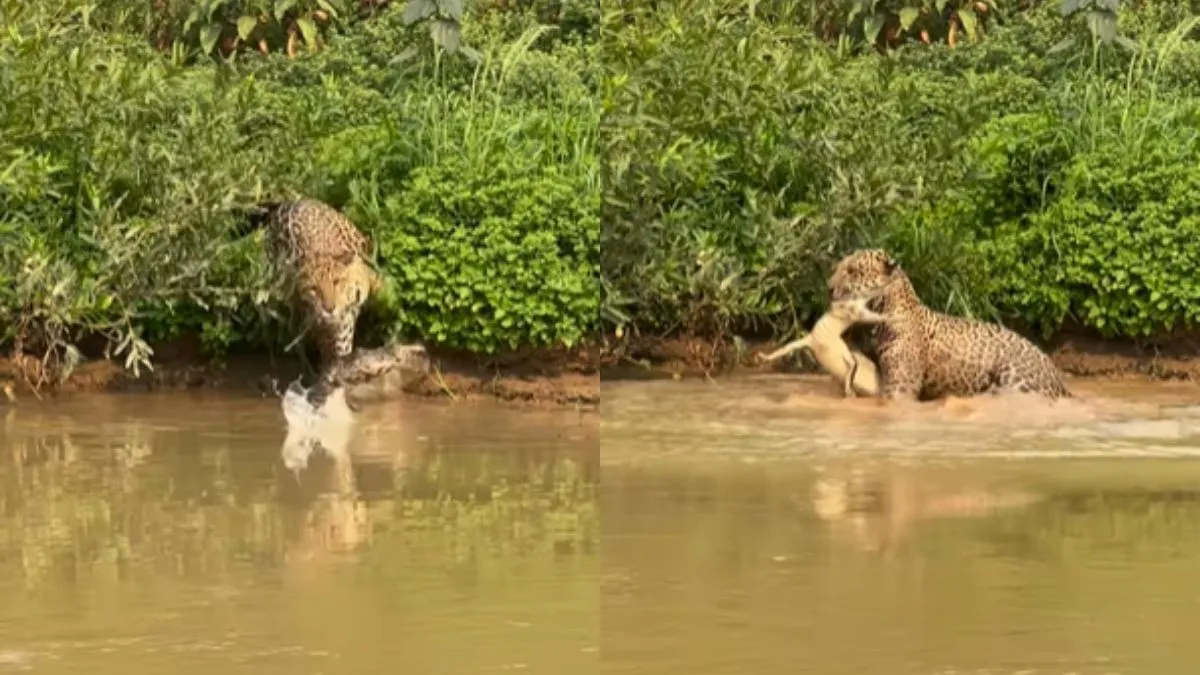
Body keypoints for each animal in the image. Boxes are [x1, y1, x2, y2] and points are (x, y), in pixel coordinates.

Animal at [826, 248, 1071, 401]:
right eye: (838, 267)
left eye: (852, 271)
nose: (828, 288)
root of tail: (1058, 379)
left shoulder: (900, 387)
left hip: (1015, 382)